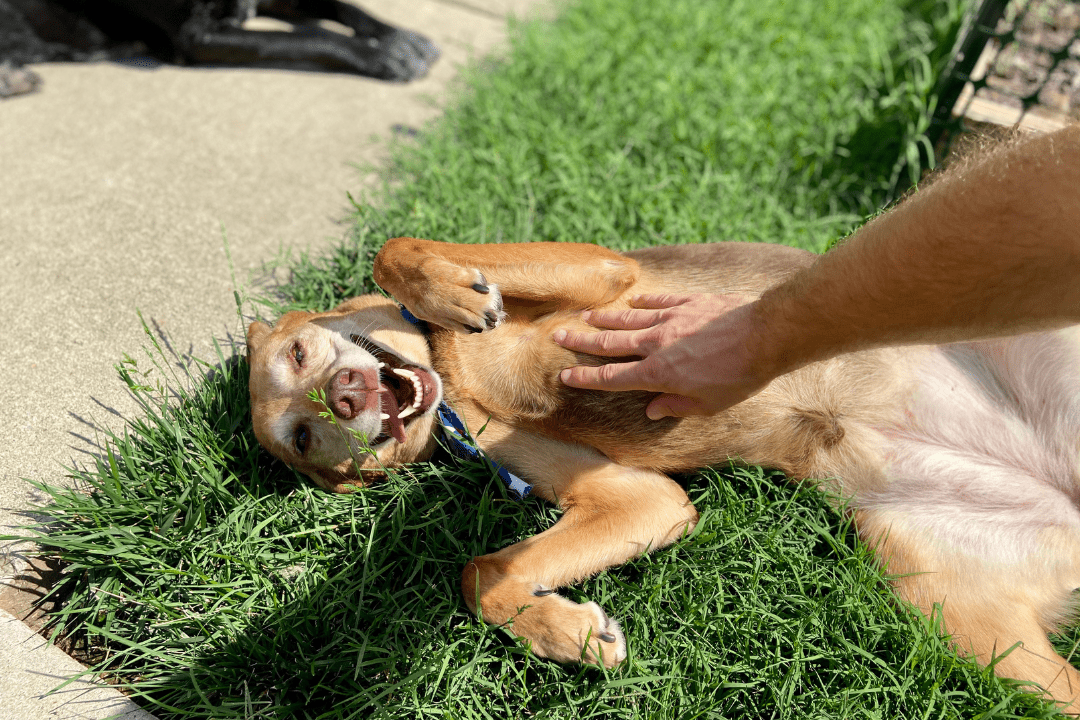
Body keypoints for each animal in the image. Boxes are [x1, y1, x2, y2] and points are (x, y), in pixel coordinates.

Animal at [247, 237, 1080, 708]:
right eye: (304, 440)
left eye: (299, 353)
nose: (346, 399)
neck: (454, 375)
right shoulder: (639, 498)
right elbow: (481, 573)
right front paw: (567, 635)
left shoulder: (604, 272)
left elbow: (398, 243)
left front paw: (444, 286)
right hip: (971, 627)